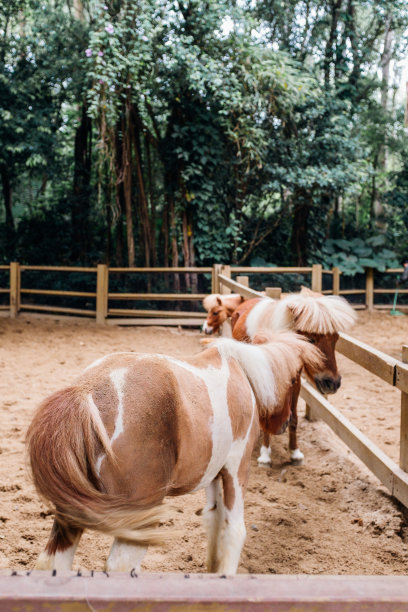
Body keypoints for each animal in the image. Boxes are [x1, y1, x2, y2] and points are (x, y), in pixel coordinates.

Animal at [26, 330, 322, 572]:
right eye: (295, 380)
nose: (284, 423)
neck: (240, 373)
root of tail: (86, 393)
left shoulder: (213, 475)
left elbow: (213, 521)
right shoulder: (235, 469)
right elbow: (234, 531)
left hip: (71, 516)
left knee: (53, 562)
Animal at [202, 286, 356, 464]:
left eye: (336, 338)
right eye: (311, 339)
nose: (332, 383)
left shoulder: (295, 382)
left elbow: (294, 418)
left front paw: (295, 451)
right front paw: (265, 454)